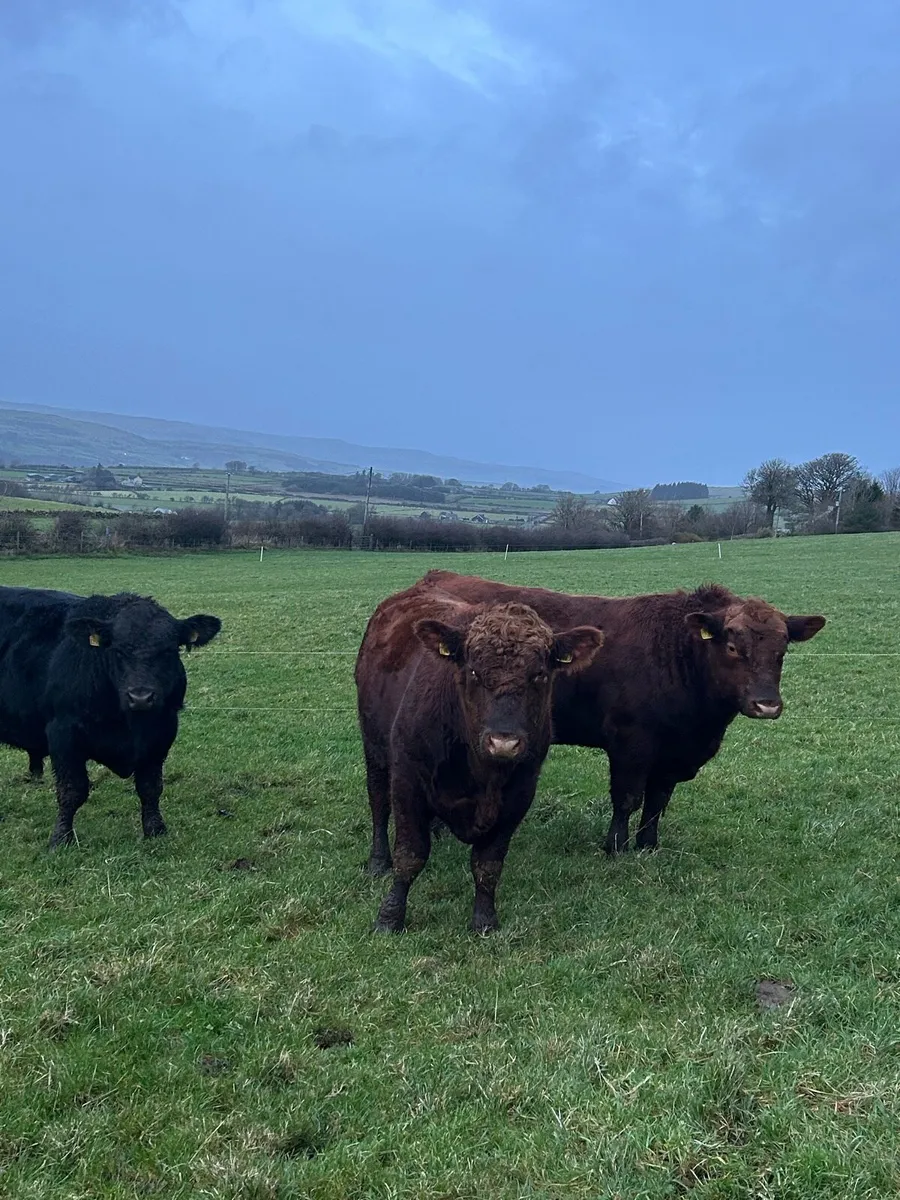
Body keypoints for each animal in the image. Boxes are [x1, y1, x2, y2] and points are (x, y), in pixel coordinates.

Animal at [0, 586, 222, 847]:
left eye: (169, 650)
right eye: (117, 650)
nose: (140, 696)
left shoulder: (162, 733)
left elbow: (151, 787)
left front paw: (155, 830)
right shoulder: (63, 734)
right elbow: (72, 791)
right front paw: (60, 838)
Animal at [355, 585, 604, 933]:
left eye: (539, 675)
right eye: (473, 671)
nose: (503, 741)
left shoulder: (519, 793)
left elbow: (488, 863)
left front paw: (484, 919)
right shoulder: (407, 779)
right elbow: (410, 855)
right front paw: (390, 917)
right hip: (374, 749)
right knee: (378, 803)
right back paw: (378, 861)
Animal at [414, 571, 826, 854]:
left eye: (782, 650)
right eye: (732, 647)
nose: (766, 703)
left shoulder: (673, 754)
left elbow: (658, 801)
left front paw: (648, 844)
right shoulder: (631, 743)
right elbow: (627, 797)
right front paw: (615, 846)